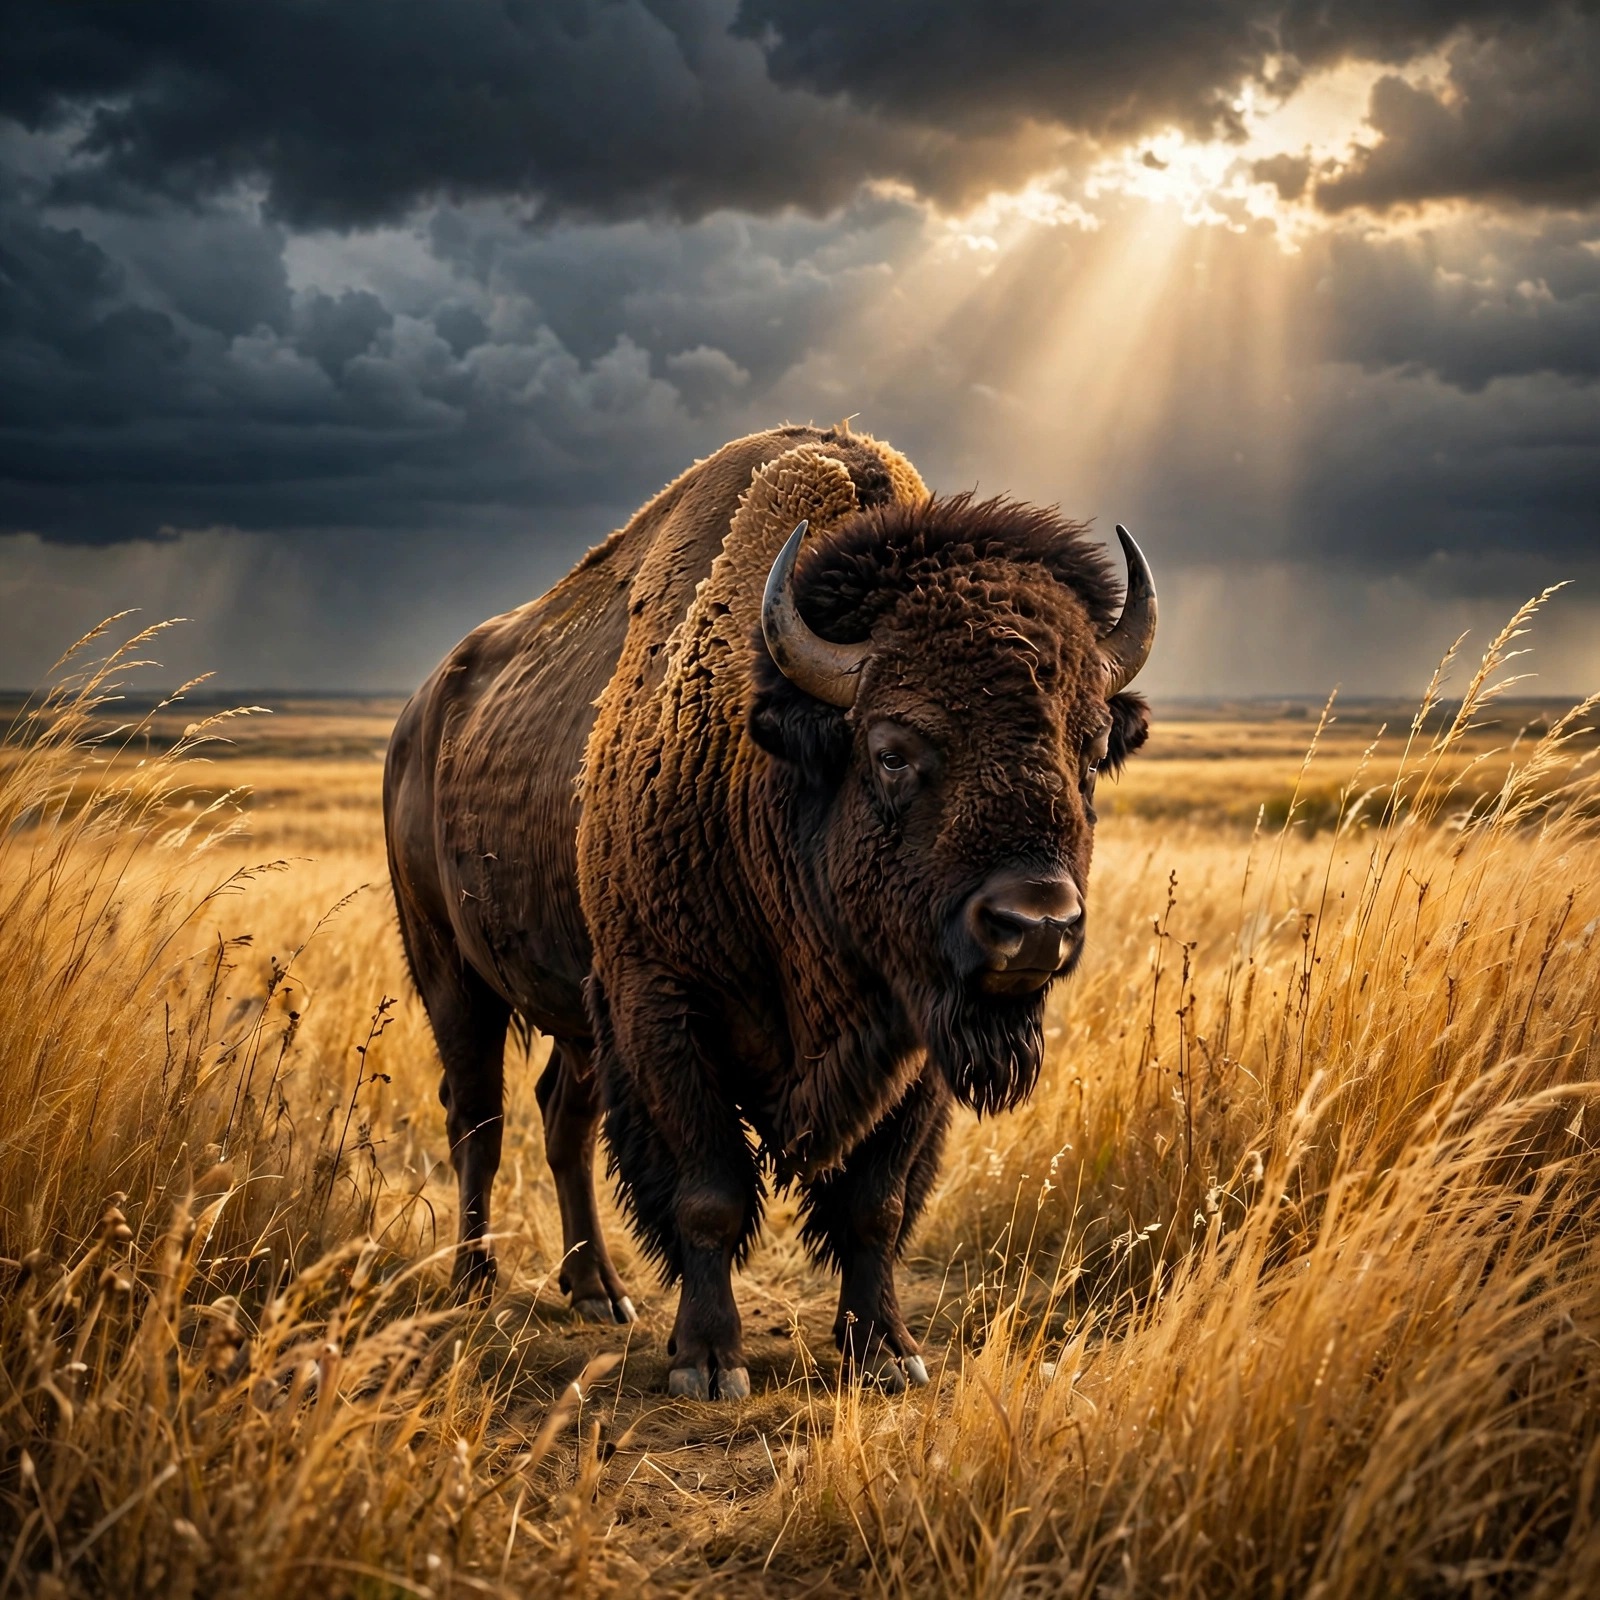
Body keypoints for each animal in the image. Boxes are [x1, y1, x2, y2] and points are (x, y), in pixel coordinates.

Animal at [384, 425, 1154, 1397]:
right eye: (892, 750)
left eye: (1088, 754)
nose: (1038, 927)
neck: (773, 771)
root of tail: (417, 717)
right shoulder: (664, 1008)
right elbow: (708, 1196)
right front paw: (709, 1363)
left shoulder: (915, 1038)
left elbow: (875, 1204)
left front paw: (886, 1353)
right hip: (453, 975)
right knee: (477, 1118)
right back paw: (475, 1281)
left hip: (581, 1012)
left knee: (564, 1117)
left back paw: (598, 1291)